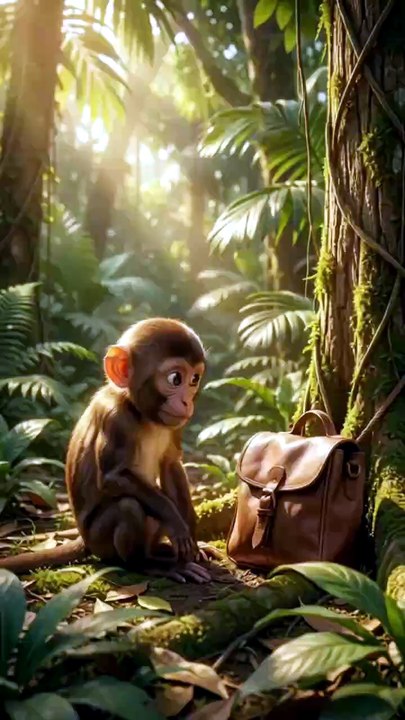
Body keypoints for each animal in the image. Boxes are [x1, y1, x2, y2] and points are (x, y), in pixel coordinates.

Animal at [0, 319, 213, 584]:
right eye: (175, 378)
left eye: (194, 379)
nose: (187, 402)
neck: (140, 413)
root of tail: (84, 540)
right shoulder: (115, 419)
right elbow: (113, 477)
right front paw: (175, 521)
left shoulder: (175, 424)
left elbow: (170, 466)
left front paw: (192, 536)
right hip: (99, 540)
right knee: (128, 506)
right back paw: (146, 564)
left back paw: (159, 551)